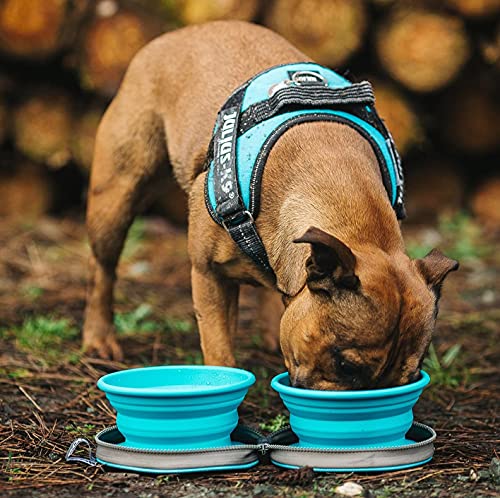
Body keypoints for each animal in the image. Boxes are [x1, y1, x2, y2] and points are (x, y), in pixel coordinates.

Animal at [81, 20, 458, 390]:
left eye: (410, 376)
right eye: (346, 366)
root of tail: (180, 33)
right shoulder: (209, 275)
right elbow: (219, 350)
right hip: (117, 195)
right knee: (104, 270)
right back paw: (99, 339)